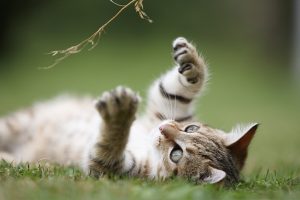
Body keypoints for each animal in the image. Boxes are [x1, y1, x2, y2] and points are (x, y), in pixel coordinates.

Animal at [0, 38, 258, 186]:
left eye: (176, 154)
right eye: (190, 127)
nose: (163, 129)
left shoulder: (112, 171)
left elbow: (107, 149)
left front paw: (119, 114)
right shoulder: (163, 112)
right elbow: (177, 90)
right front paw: (189, 61)